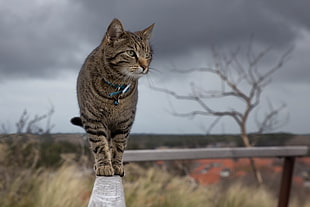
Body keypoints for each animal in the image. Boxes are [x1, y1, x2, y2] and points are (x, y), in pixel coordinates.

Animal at [71, 18, 154, 176]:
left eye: (148, 55)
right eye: (131, 53)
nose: (145, 67)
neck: (116, 85)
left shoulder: (124, 121)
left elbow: (118, 146)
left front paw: (116, 165)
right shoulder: (93, 119)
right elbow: (99, 145)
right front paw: (104, 165)